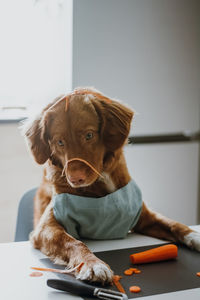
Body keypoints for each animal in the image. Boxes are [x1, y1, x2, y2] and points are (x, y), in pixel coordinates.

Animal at [24, 87, 200, 284]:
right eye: (59, 142)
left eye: (89, 135)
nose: (75, 179)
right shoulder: (45, 228)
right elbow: (73, 242)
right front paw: (93, 264)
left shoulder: (143, 217)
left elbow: (174, 224)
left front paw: (195, 236)